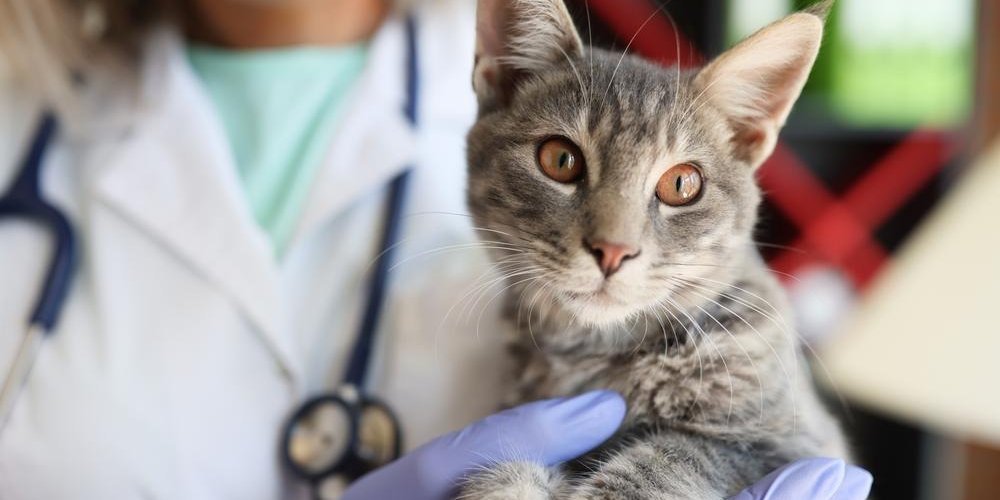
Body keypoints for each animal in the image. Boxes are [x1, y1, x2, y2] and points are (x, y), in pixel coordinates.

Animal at [464, 0, 848, 500]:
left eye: (681, 184)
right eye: (559, 160)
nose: (612, 249)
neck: (600, 354)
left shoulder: (797, 443)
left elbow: (673, 458)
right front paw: (506, 483)